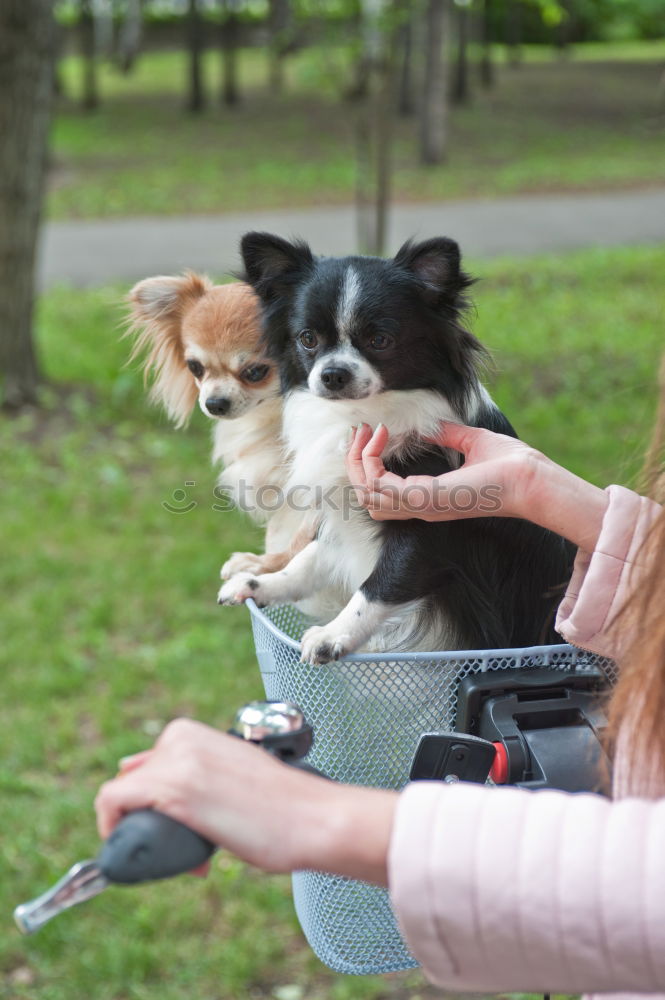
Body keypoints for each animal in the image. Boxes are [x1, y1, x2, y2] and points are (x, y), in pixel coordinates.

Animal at [217, 230, 572, 660]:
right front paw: (261, 584)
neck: (362, 416)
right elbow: (310, 559)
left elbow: (378, 586)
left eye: (380, 340)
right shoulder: (342, 513)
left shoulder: (425, 533)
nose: (332, 374)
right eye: (307, 339)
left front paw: (332, 635)